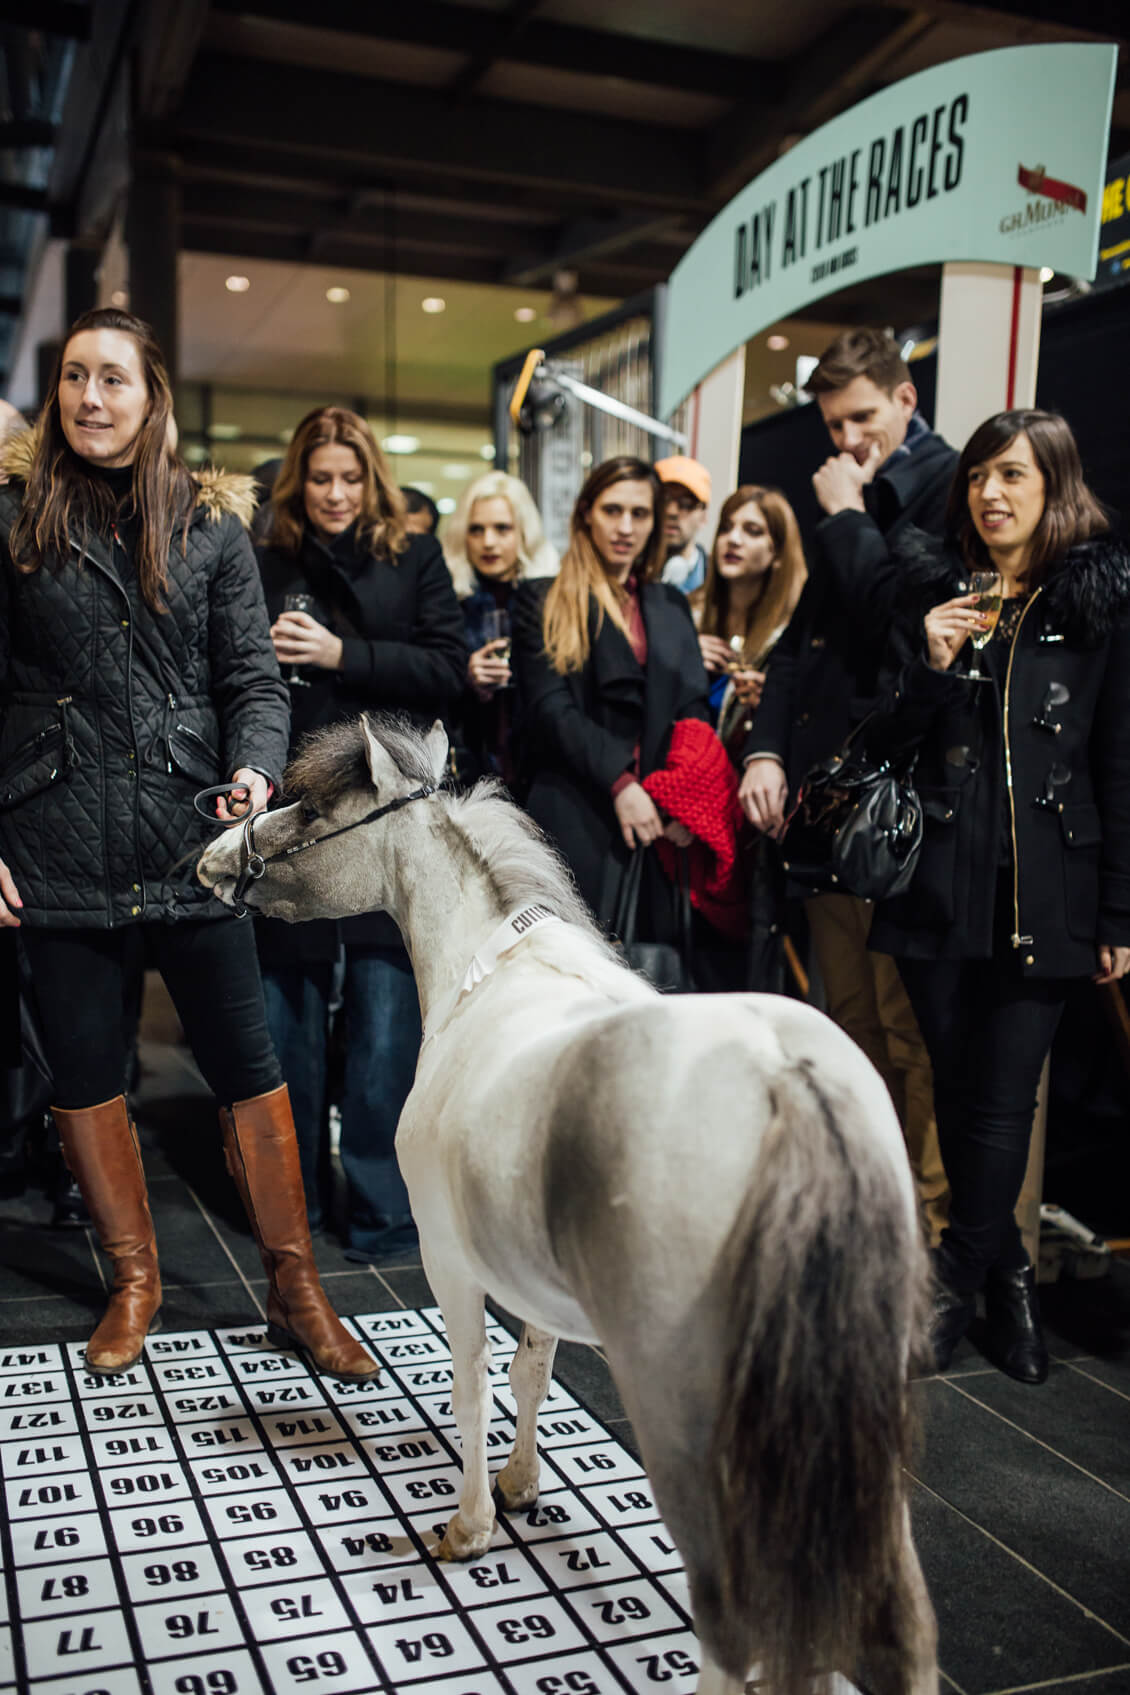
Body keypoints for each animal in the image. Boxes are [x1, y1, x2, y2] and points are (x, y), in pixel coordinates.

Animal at [198, 713, 938, 1695]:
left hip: (696, 1427)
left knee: (736, 1621)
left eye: (311, 808)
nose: (211, 854)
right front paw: (521, 1486)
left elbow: (472, 1382)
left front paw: (470, 1525)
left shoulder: (450, 1262)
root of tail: (794, 1085)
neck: (493, 969)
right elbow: (531, 1375)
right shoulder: (538, 1283)